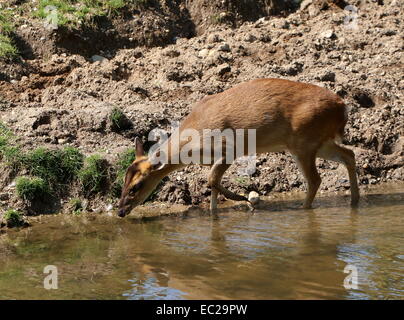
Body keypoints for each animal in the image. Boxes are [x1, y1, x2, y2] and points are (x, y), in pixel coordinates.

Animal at [117, 78, 360, 218]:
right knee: (349, 154)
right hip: (319, 142)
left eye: (136, 186)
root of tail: (342, 108)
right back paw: (354, 201)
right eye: (123, 182)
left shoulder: (229, 149)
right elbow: (213, 184)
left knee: (315, 179)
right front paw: (216, 212)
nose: (120, 211)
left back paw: (303, 209)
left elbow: (211, 180)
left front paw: (245, 200)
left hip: (304, 142)